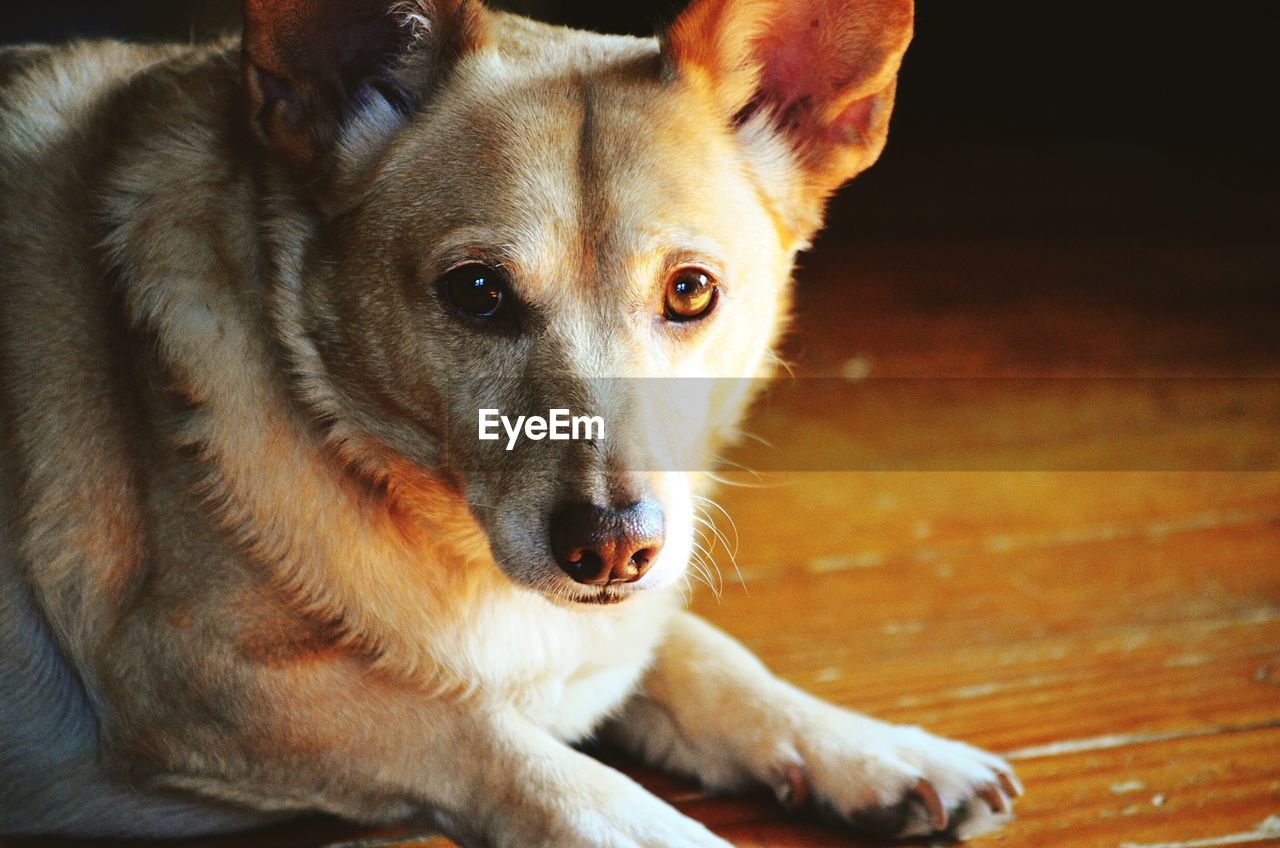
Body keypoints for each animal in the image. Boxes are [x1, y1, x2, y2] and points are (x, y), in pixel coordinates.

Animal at [0, 0, 1018, 845]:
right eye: (478, 293)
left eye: (691, 291)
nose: (613, 551)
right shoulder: (192, 671)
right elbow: (486, 733)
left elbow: (700, 651)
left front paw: (869, 746)